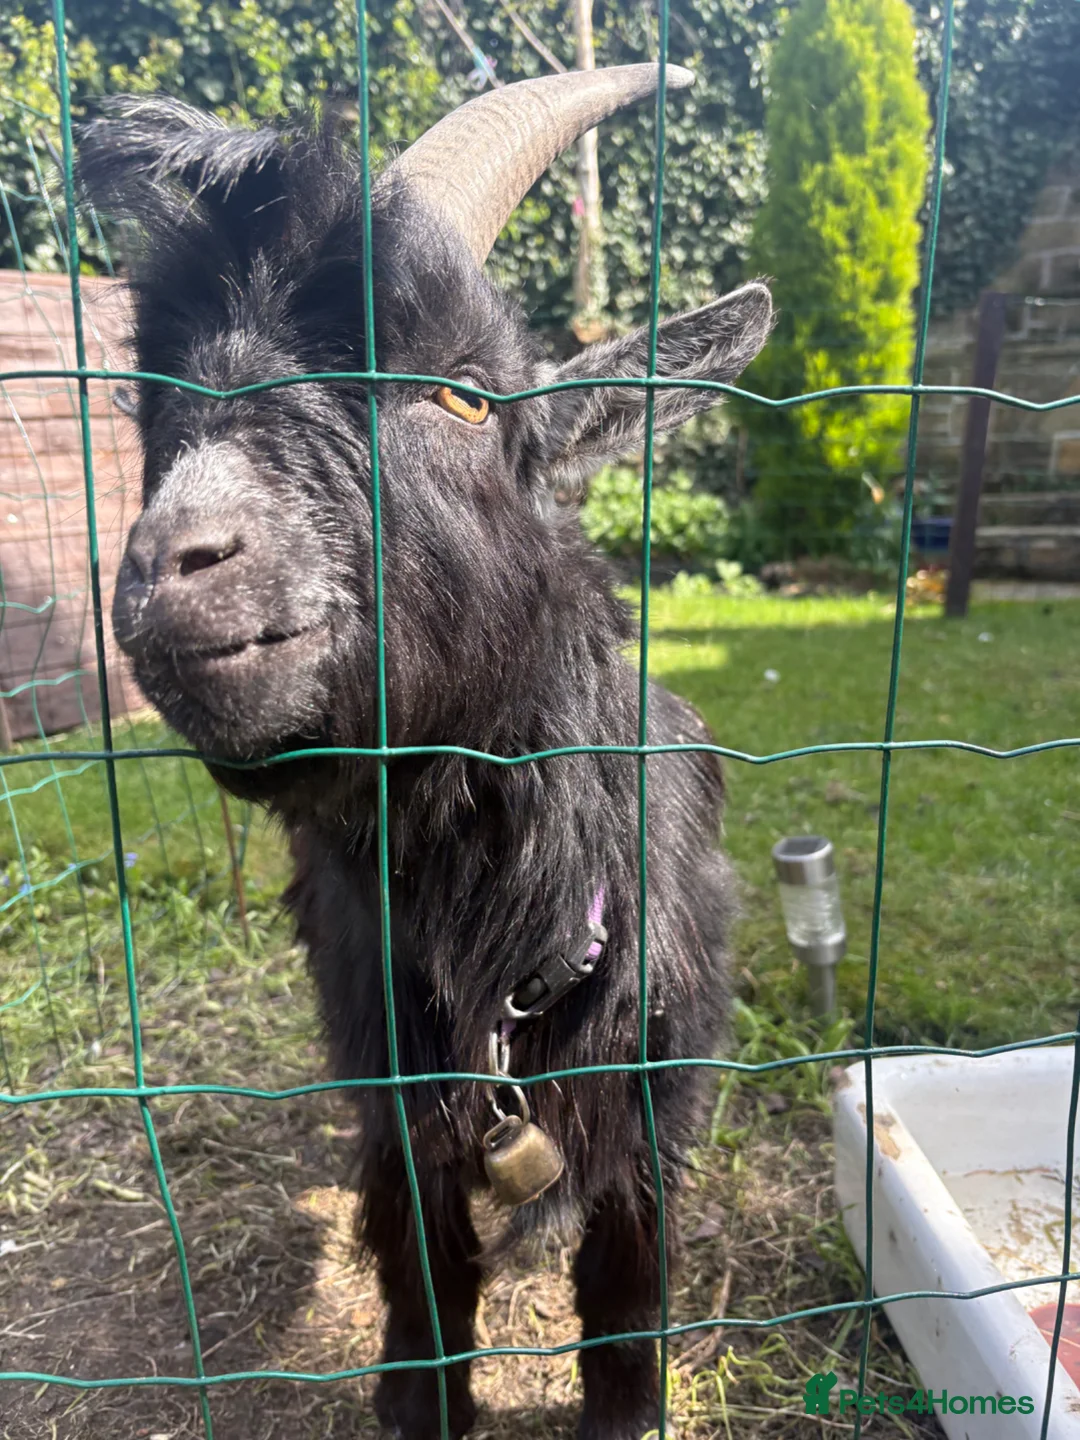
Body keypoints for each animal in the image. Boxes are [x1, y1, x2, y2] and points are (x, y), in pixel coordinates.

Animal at [79, 67, 772, 1440]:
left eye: (463, 391)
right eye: (161, 403)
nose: (172, 571)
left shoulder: (657, 1082)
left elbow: (626, 1279)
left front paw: (628, 1409)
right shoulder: (385, 1069)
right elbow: (420, 1263)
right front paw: (418, 1400)